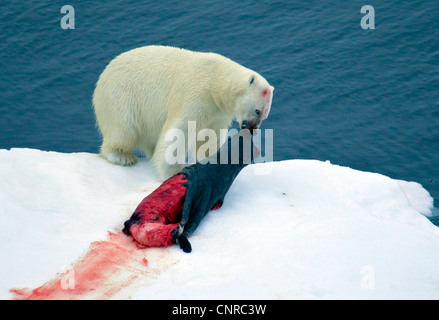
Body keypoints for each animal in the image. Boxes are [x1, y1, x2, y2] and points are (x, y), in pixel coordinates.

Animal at [93, 45, 276, 179]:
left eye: (265, 114)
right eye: (258, 111)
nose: (253, 128)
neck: (216, 82)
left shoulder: (218, 113)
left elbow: (210, 136)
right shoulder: (196, 93)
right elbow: (180, 130)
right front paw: (172, 172)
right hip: (121, 98)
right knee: (125, 128)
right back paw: (121, 156)